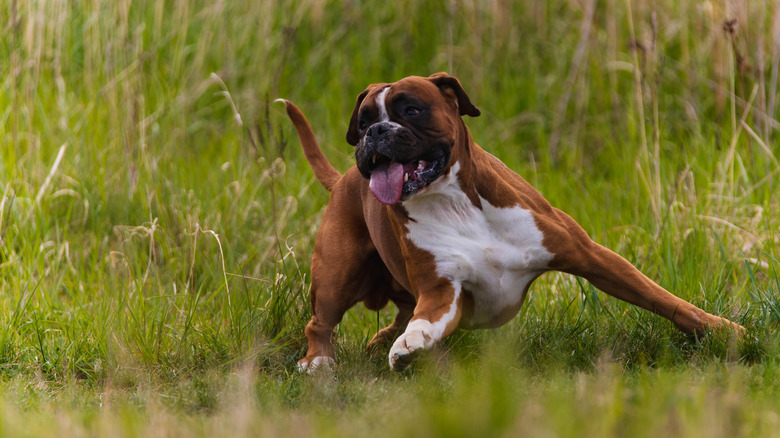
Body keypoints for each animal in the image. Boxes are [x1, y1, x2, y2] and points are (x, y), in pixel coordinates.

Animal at [278, 73, 740, 372]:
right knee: (321, 322)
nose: (374, 133)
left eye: (412, 109)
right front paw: (411, 342)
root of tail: (343, 178)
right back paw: (318, 362)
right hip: (337, 275)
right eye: (362, 122)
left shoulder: (593, 257)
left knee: (394, 315)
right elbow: (424, 320)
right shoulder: (443, 291)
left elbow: (664, 299)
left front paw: (725, 331)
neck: (455, 201)